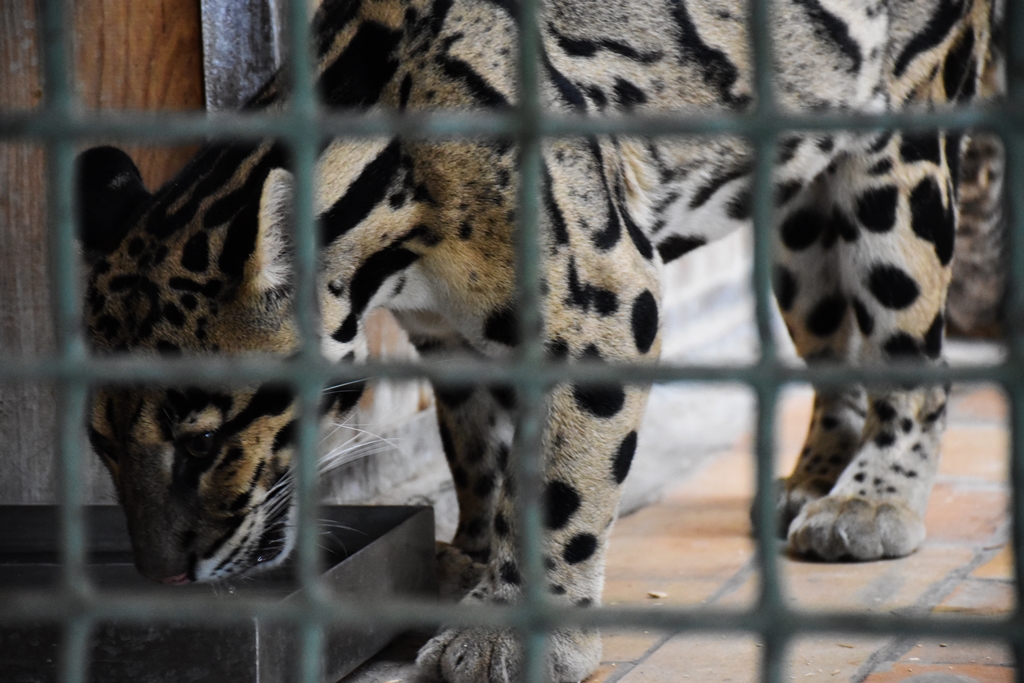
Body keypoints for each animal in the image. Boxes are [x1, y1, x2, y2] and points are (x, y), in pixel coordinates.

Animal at [75, 0, 997, 681]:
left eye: (202, 441)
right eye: (101, 444)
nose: (160, 575)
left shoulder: (605, 301)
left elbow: (562, 482)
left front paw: (517, 630)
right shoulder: (448, 335)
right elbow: (478, 457)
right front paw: (469, 561)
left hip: (896, 165)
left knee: (918, 365)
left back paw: (872, 502)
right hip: (800, 225)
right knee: (836, 352)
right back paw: (810, 482)